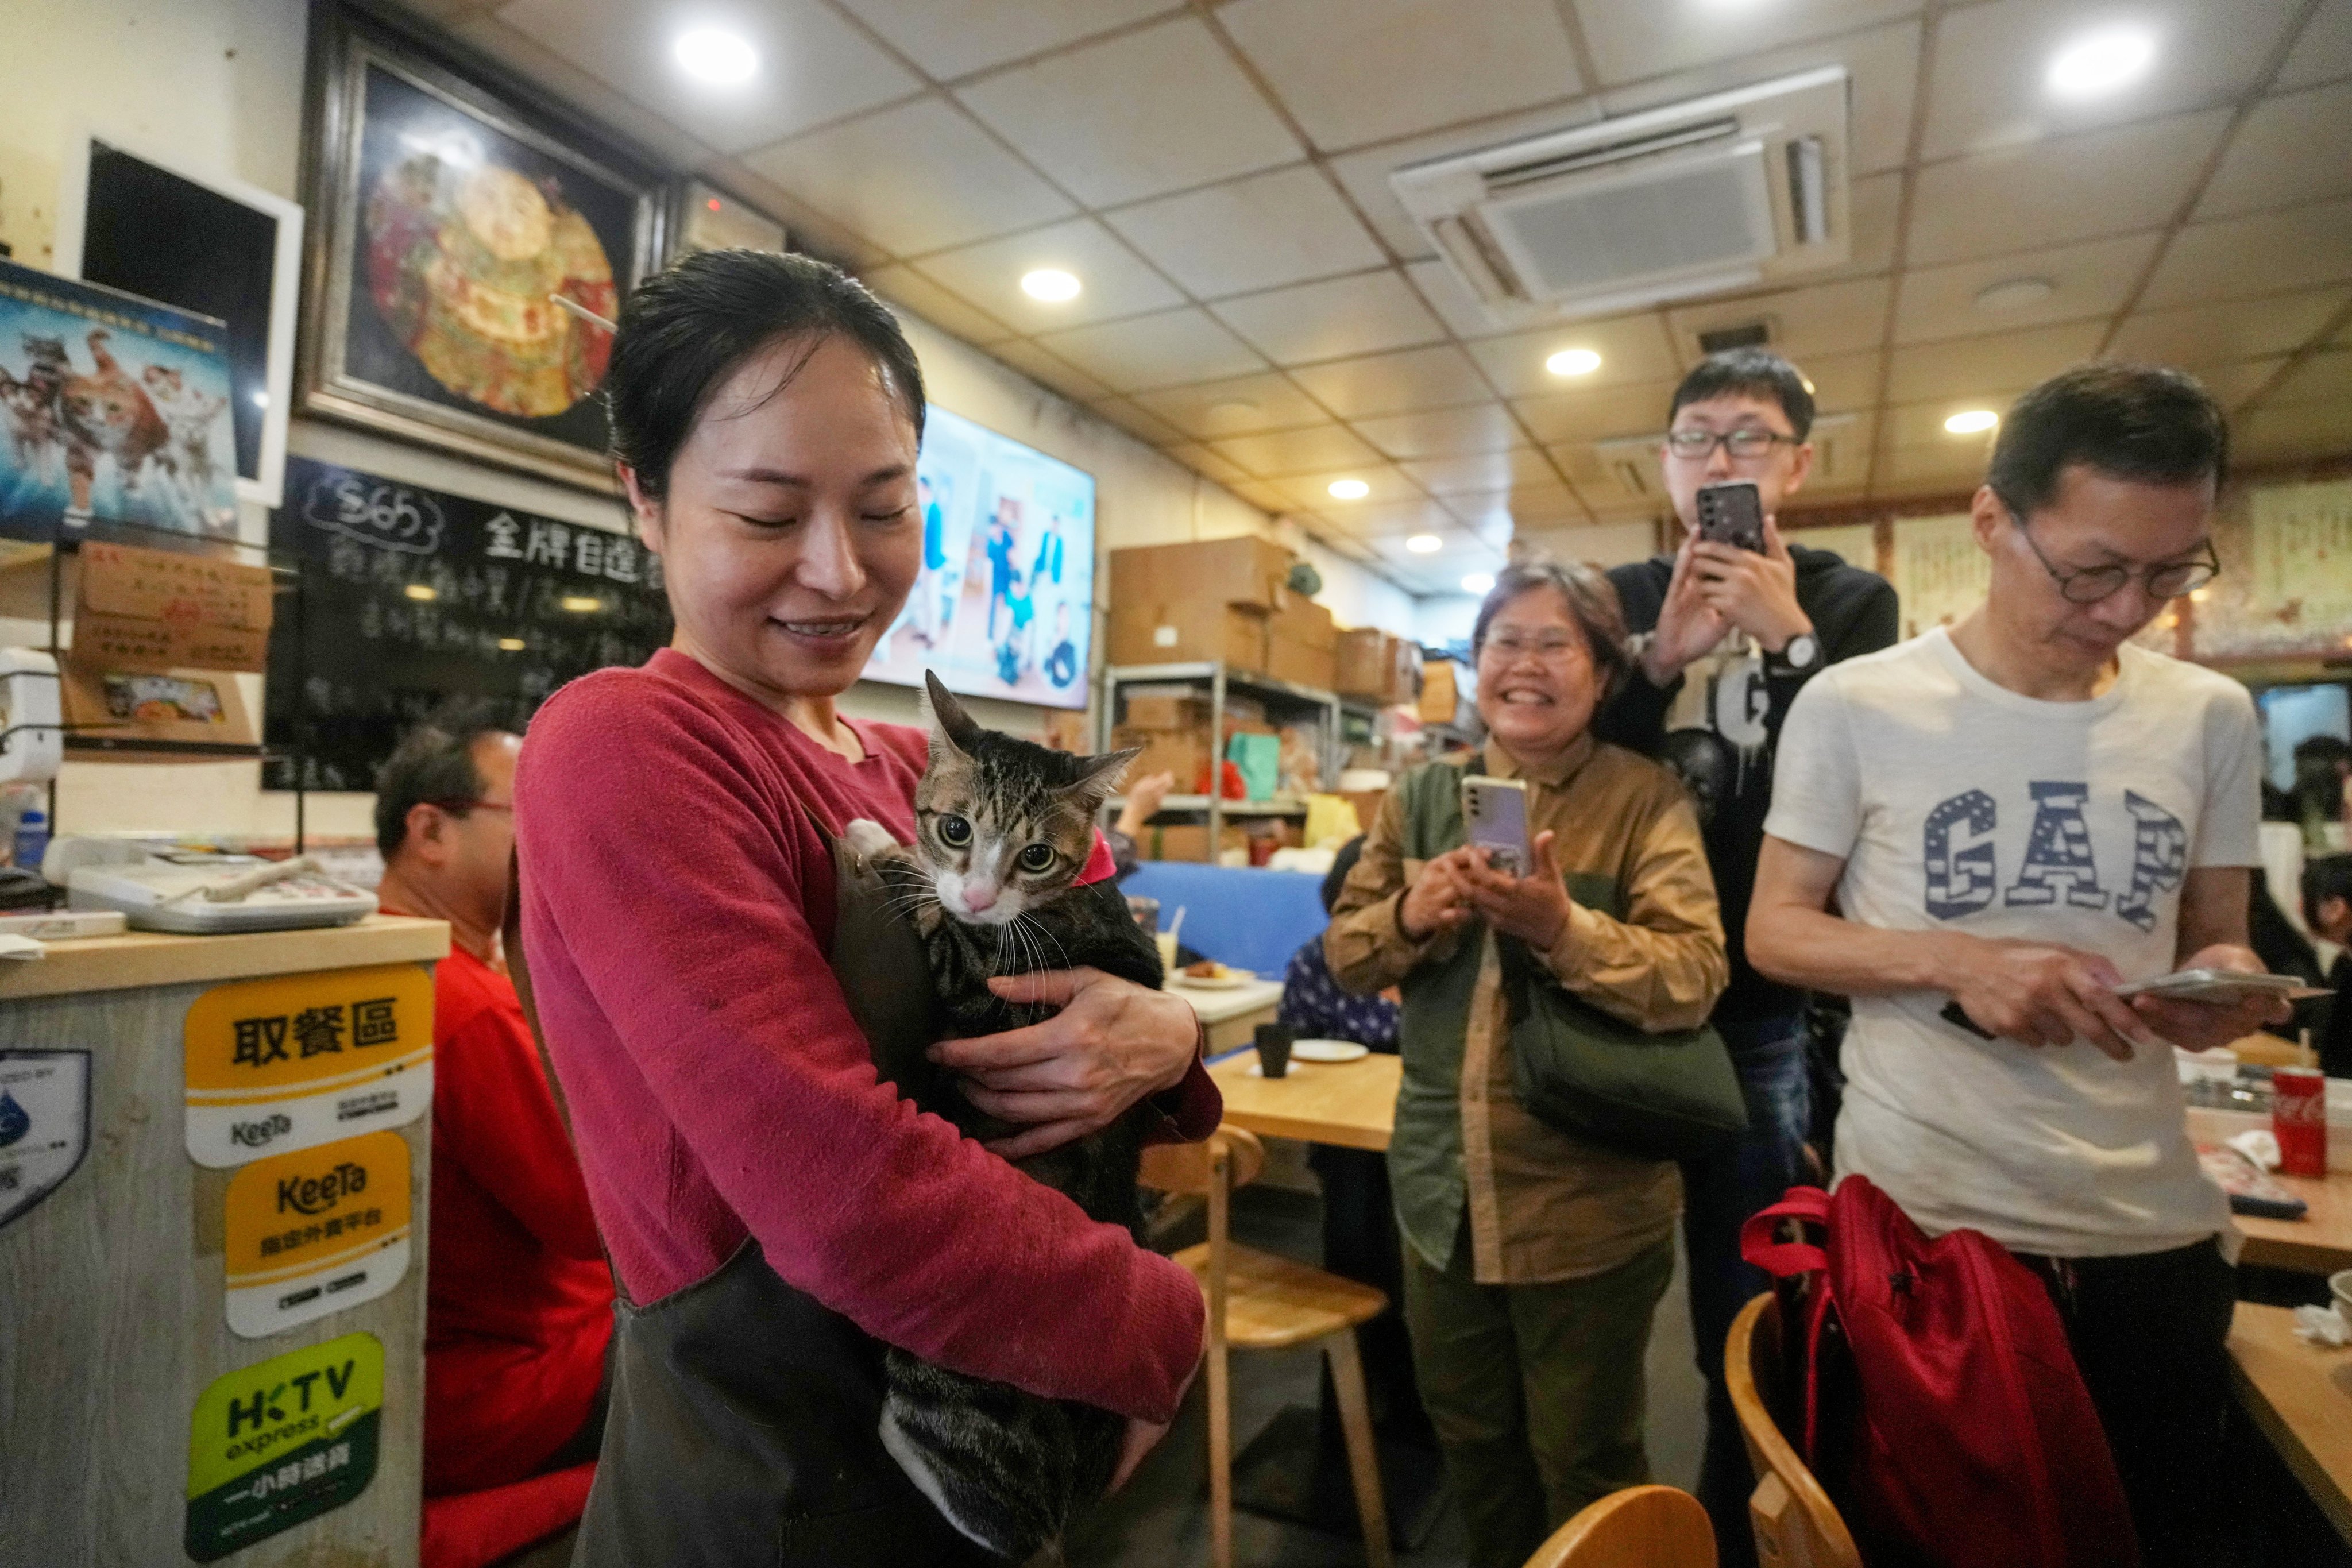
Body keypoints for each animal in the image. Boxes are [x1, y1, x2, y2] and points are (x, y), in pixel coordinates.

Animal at [842, 667, 1161, 1561]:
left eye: (1037, 854)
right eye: (955, 828)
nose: (983, 895)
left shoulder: (1001, 989)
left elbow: (941, 928)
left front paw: (875, 840)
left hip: (959, 1362)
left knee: (1008, 1518)